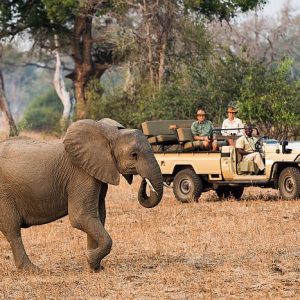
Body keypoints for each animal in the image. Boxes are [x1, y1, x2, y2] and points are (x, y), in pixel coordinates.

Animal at [0, 119, 163, 272]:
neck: (109, 133)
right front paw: (90, 259)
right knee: (12, 229)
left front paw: (94, 268)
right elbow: (81, 217)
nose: (144, 180)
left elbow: (98, 215)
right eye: (134, 155)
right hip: (4, 193)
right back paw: (33, 270)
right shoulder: (81, 174)